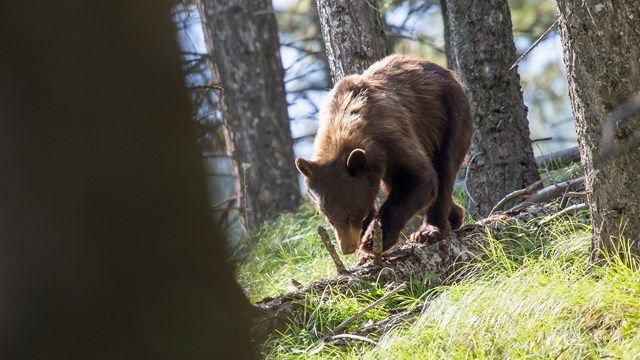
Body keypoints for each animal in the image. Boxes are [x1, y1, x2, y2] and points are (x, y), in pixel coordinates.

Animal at [296, 53, 470, 256]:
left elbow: (421, 178)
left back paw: (430, 231)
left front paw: (371, 242)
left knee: (444, 169)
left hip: (449, 115)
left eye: (352, 214)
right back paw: (455, 216)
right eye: (329, 217)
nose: (347, 248)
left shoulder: (391, 137)